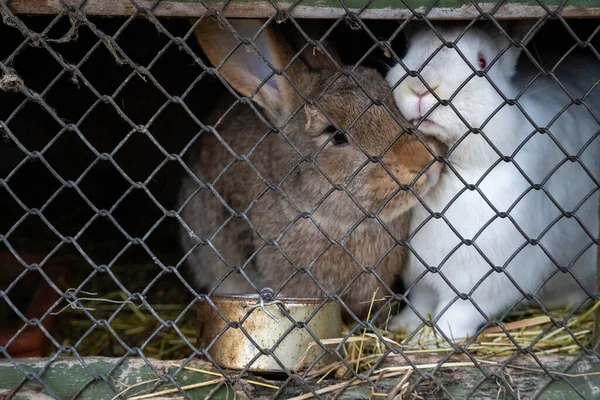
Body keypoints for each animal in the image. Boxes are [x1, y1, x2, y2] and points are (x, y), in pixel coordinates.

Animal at [384, 21, 600, 340]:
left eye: (483, 63)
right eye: (407, 51)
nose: (421, 88)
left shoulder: (485, 281)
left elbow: (458, 312)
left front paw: (436, 338)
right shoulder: (422, 276)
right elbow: (420, 303)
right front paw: (404, 326)